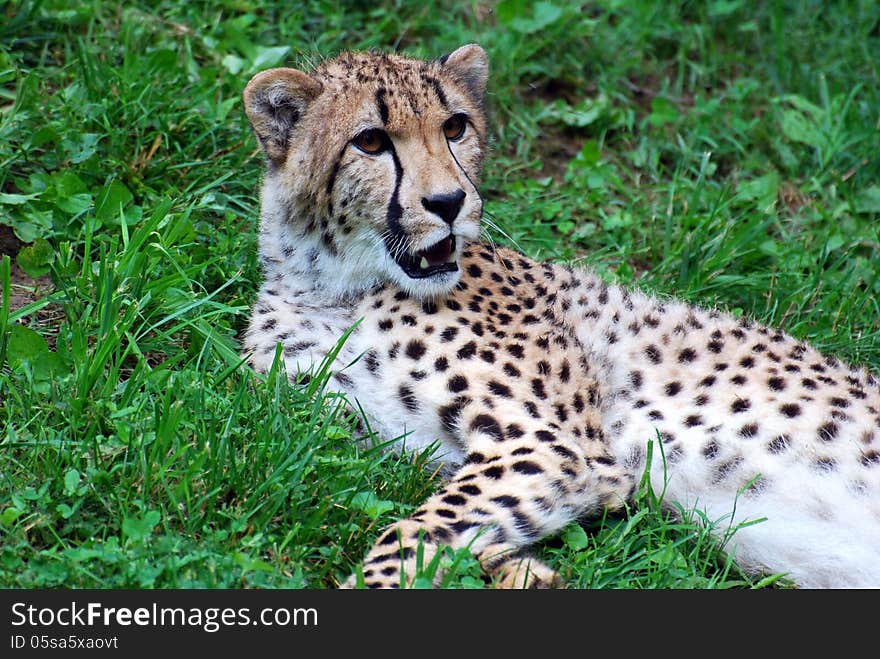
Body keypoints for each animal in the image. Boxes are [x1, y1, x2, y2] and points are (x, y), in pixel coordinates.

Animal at [241, 42, 880, 588]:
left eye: (455, 127)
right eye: (370, 142)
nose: (450, 203)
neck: (333, 285)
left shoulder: (556, 447)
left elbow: (412, 530)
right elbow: (448, 519)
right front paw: (524, 573)